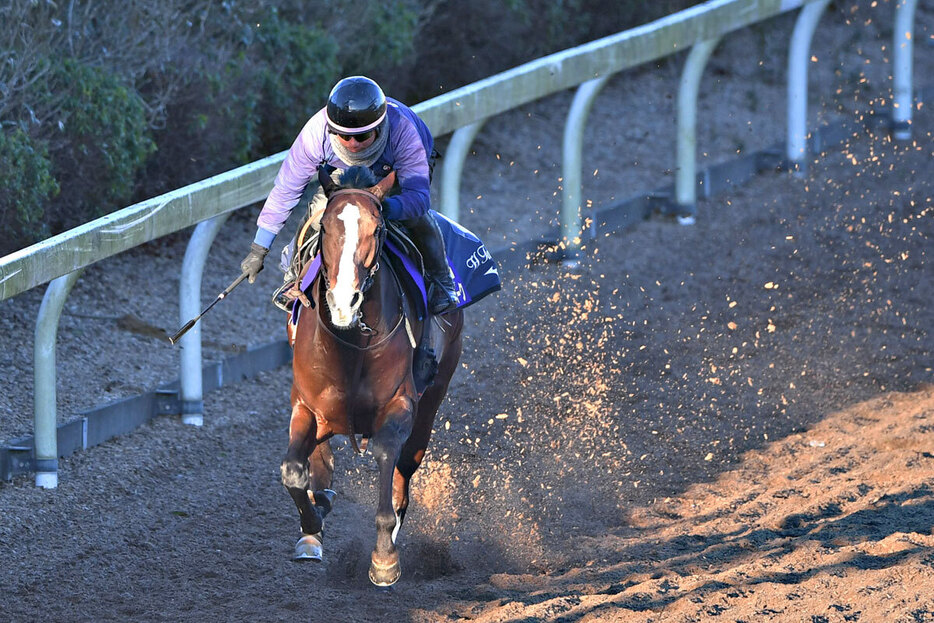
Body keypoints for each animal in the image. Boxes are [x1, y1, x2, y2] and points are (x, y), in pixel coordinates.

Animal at [280, 165, 466, 584]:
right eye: (326, 227)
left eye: (378, 229)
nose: (343, 302)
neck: (352, 344)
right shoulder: (305, 406)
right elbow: (294, 470)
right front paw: (312, 525)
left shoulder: (400, 404)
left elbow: (385, 454)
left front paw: (384, 556)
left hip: (434, 395)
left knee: (406, 465)